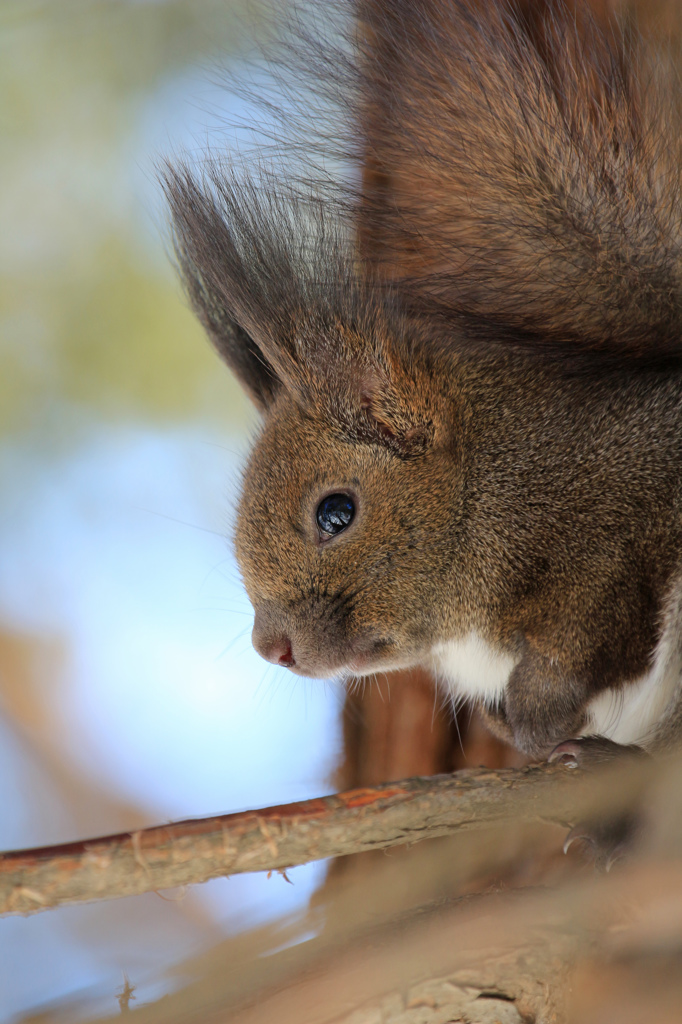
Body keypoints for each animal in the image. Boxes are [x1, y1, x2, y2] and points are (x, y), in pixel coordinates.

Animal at [161, 0, 679, 770]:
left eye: (336, 513)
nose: (271, 647)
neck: (490, 483)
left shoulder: (620, 528)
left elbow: (575, 644)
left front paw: (542, 723)